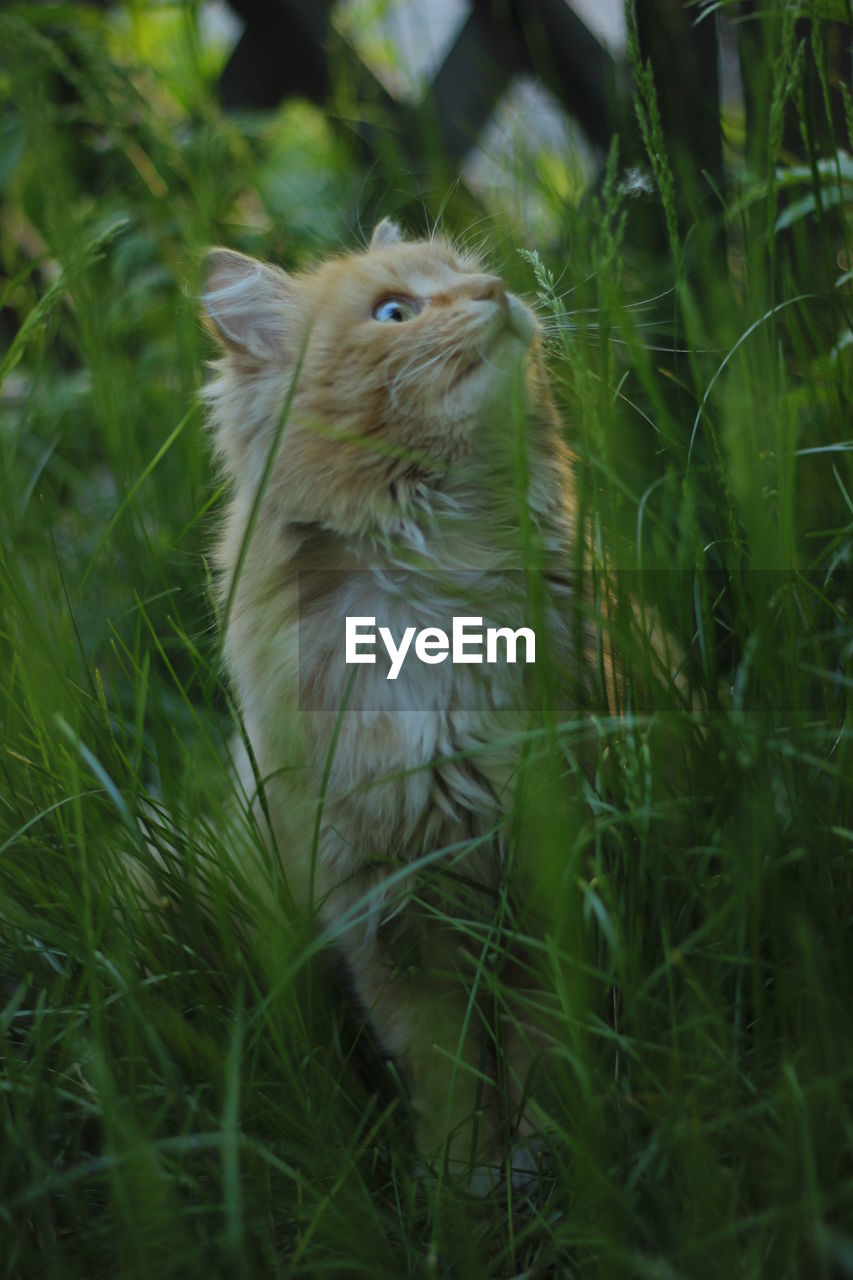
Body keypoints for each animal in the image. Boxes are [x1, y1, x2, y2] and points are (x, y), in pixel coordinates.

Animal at [199, 220, 584, 1187]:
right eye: (393, 313)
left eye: (465, 276)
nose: (495, 290)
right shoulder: (381, 910)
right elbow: (442, 1068)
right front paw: (466, 1182)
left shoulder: (536, 847)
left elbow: (535, 1042)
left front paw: (545, 1152)